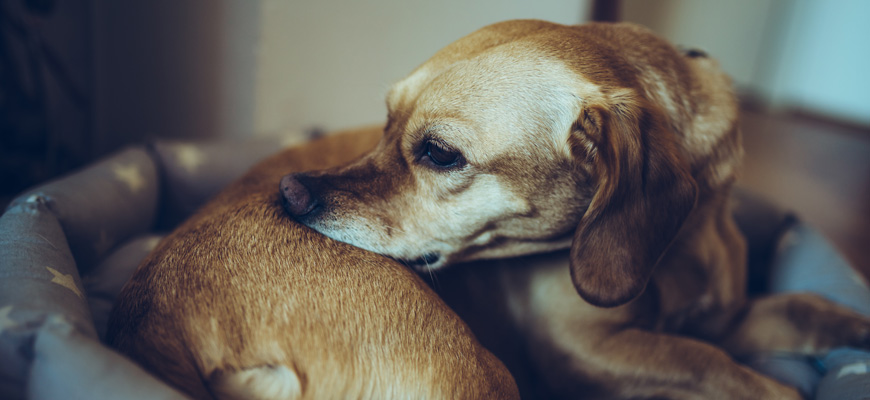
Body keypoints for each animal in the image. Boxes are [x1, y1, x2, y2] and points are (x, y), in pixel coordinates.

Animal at [282, 20, 870, 398]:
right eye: (385, 122)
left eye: (441, 153)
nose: (290, 192)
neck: (684, 243)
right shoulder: (585, 350)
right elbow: (710, 363)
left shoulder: (721, 319)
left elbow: (800, 309)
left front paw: (854, 324)